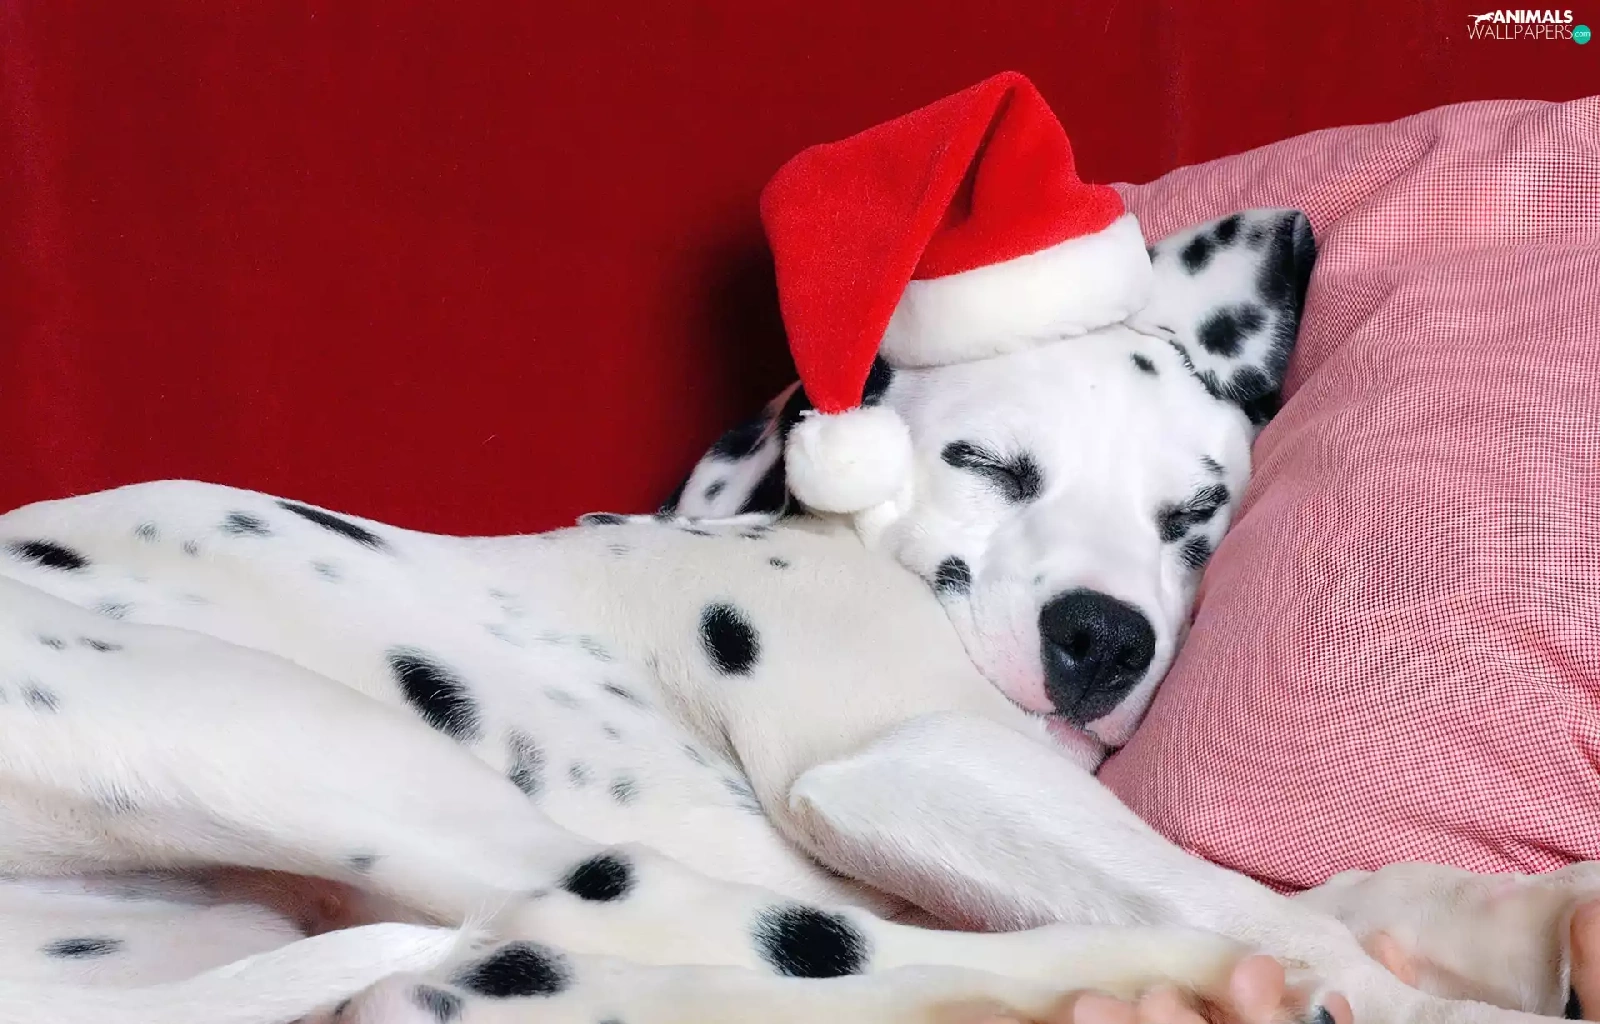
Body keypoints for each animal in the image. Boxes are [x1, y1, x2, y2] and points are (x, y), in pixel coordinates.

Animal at [0, 209, 1584, 1024]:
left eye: (1196, 511)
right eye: (989, 464)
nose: (1102, 639)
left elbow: (1292, 882)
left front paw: (1488, 912)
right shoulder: (909, 765)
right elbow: (1233, 896)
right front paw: (1406, 981)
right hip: (312, 744)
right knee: (670, 929)